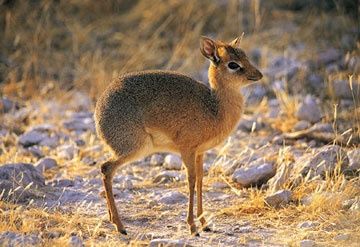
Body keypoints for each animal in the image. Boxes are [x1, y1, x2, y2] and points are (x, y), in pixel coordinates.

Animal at [95, 35, 262, 235]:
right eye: (233, 64)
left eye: (245, 56)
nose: (259, 75)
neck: (215, 107)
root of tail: (98, 111)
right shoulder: (187, 150)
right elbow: (190, 181)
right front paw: (192, 226)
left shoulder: (200, 152)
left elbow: (200, 180)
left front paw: (204, 223)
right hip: (135, 148)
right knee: (106, 168)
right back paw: (120, 226)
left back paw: (113, 220)